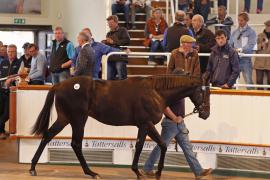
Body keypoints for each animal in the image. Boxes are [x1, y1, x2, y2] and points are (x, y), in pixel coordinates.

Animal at [29, 73, 211, 179]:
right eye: (204, 92)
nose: (206, 114)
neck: (155, 92)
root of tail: (59, 85)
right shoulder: (145, 124)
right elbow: (140, 146)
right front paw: (137, 172)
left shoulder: (146, 125)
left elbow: (162, 145)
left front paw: (157, 173)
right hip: (78, 119)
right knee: (75, 144)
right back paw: (91, 172)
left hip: (65, 118)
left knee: (48, 136)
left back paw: (33, 167)